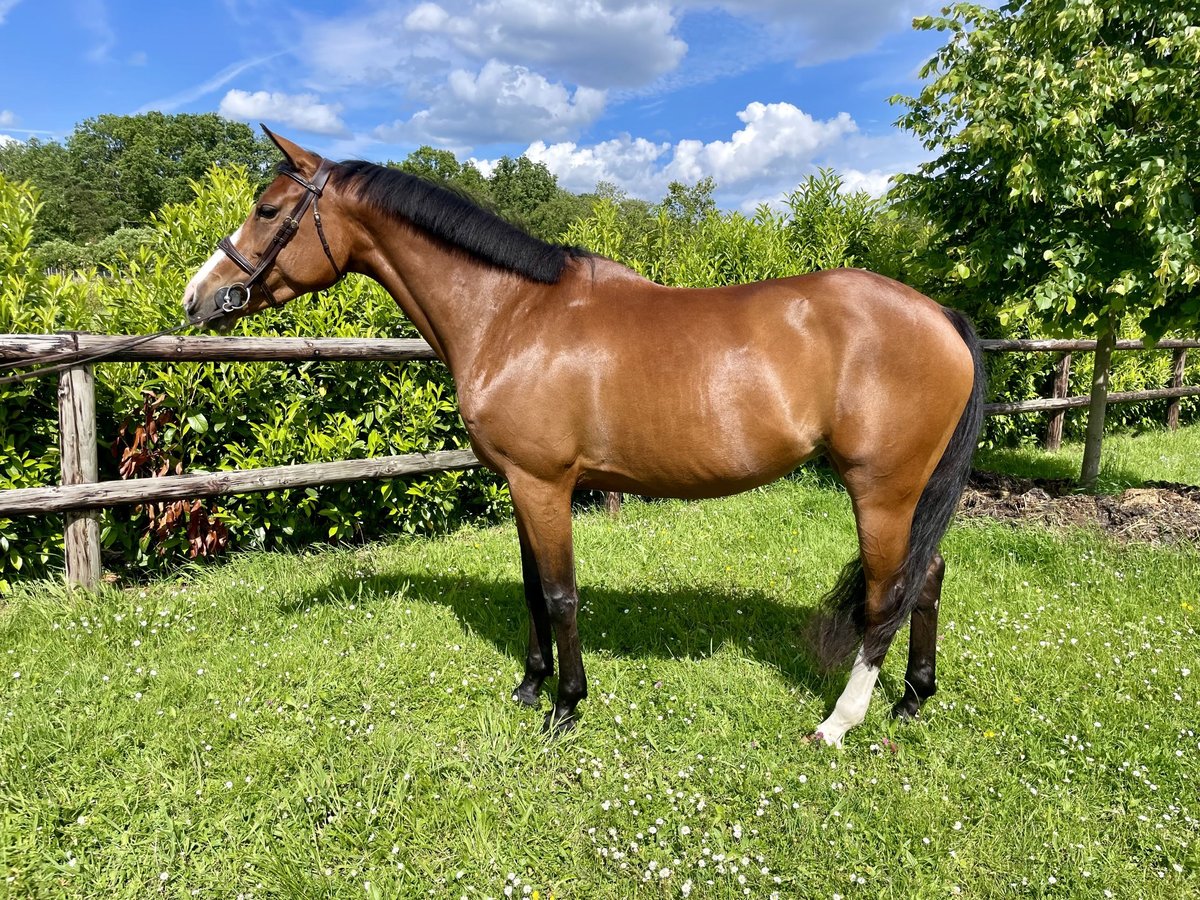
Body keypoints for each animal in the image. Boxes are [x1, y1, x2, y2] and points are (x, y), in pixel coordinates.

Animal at [180, 127, 984, 748]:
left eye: (267, 209)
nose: (198, 297)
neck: (512, 314)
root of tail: (939, 316)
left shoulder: (545, 483)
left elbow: (562, 594)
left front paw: (565, 707)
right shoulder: (518, 483)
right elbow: (532, 588)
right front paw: (530, 687)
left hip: (881, 489)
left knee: (888, 593)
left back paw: (840, 723)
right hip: (905, 494)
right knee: (928, 577)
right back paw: (913, 699)